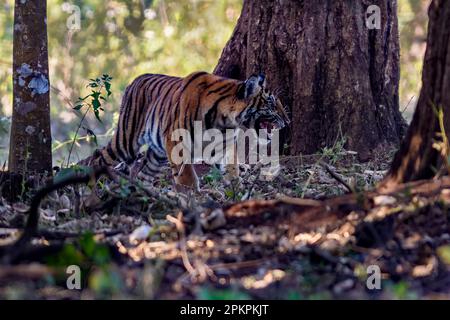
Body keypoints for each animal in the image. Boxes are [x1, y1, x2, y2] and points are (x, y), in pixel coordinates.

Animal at [81, 71, 288, 191]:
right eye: (271, 103)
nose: (288, 120)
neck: (225, 121)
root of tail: (134, 80)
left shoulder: (225, 145)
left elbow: (232, 167)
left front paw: (235, 188)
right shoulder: (177, 141)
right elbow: (187, 175)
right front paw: (192, 197)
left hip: (157, 154)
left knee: (143, 173)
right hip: (127, 141)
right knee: (98, 157)